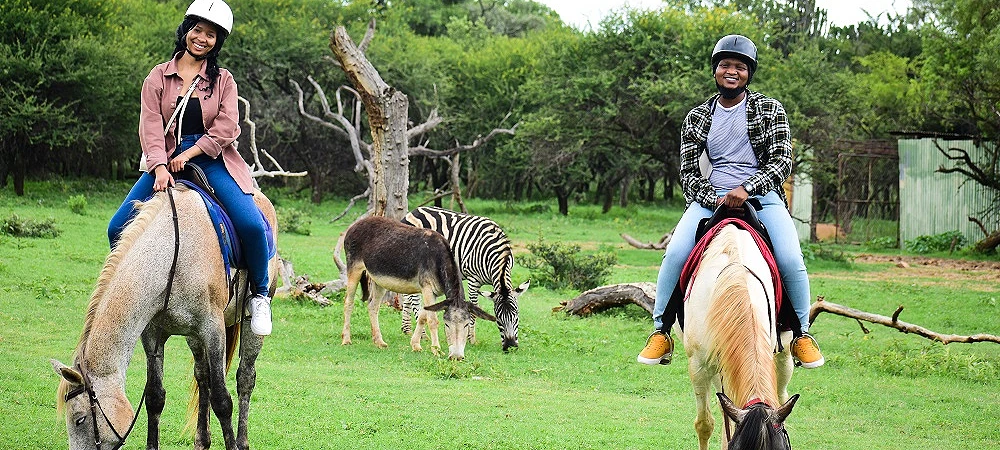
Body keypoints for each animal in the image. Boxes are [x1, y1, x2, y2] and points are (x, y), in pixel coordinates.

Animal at [51, 184, 278, 450]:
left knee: (245, 378)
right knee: (202, 377)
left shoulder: (213, 330)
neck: (172, 257)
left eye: (80, 419)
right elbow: (155, 397)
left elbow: (222, 400)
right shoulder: (152, 334)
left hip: (250, 322)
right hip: (193, 336)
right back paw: (201, 440)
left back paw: (242, 441)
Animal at [340, 216, 496, 360]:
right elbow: (432, 320)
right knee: (349, 302)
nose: (456, 357)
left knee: (373, 306)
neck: (439, 258)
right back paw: (346, 339)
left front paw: (415, 345)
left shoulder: (433, 293)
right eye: (446, 325)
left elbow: (422, 316)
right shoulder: (426, 288)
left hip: (378, 279)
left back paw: (379, 342)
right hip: (354, 268)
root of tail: (356, 224)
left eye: (466, 325)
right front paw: (436, 350)